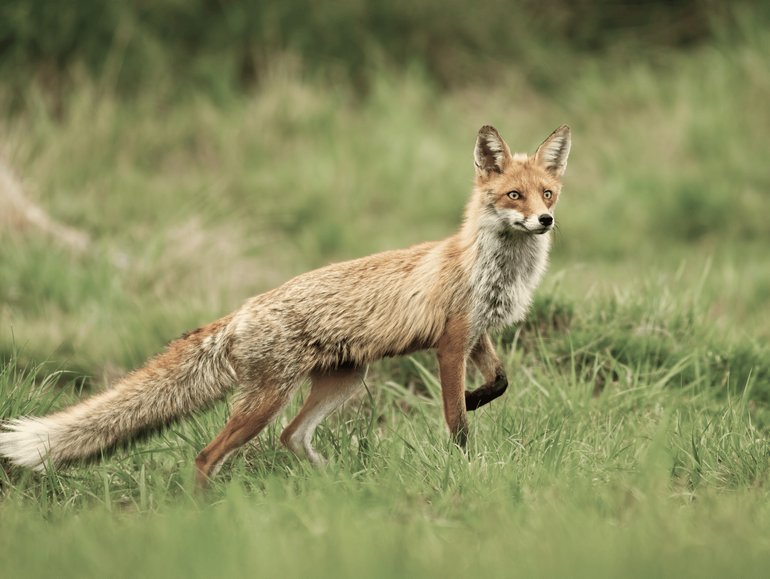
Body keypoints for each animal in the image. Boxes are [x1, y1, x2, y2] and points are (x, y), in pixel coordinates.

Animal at [0, 124, 571, 487]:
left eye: (547, 193)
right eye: (514, 196)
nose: (545, 221)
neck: (491, 269)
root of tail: (242, 309)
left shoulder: (478, 333)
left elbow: (501, 381)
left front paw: (479, 398)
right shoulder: (451, 343)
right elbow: (456, 425)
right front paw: (463, 462)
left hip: (343, 382)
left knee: (291, 438)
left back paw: (334, 489)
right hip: (265, 401)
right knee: (206, 456)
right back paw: (203, 511)